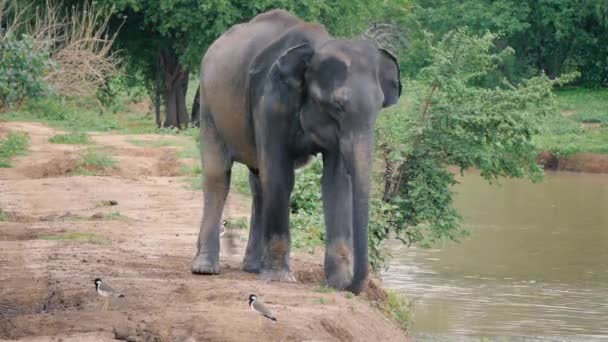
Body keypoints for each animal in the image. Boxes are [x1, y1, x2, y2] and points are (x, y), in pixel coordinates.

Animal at [192, 9, 402, 292]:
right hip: (209, 105)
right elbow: (280, 175)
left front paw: (336, 281)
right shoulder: (271, 102)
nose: (351, 285)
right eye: (338, 105)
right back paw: (205, 268)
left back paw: (253, 268)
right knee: (218, 176)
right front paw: (280, 278)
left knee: (258, 181)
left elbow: (336, 182)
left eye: (380, 106)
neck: (317, 47)